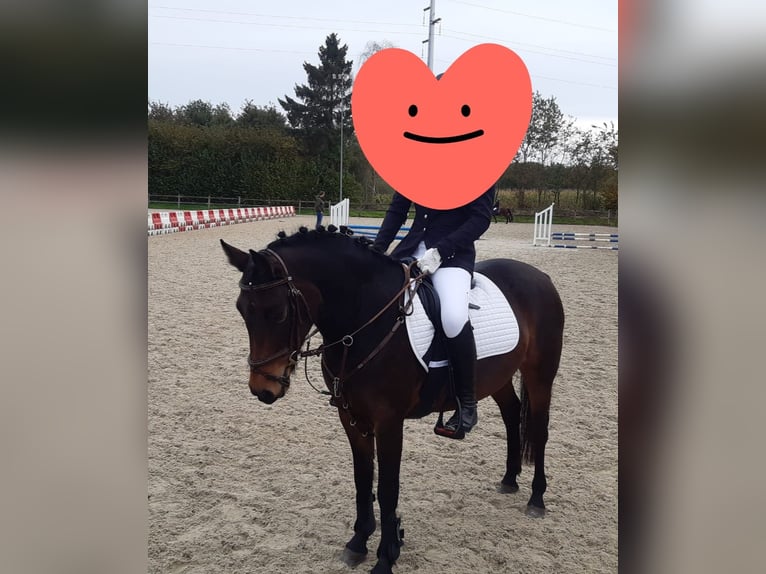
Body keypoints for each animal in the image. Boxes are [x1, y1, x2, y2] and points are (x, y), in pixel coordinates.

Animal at [220, 225, 564, 574]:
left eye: (277, 313)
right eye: (240, 309)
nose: (263, 388)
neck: (362, 323)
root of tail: (540, 276)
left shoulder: (388, 421)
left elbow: (387, 489)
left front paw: (387, 555)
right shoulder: (351, 417)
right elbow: (362, 480)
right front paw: (358, 542)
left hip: (539, 375)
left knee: (539, 429)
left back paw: (536, 499)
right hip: (498, 377)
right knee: (512, 414)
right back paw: (509, 479)